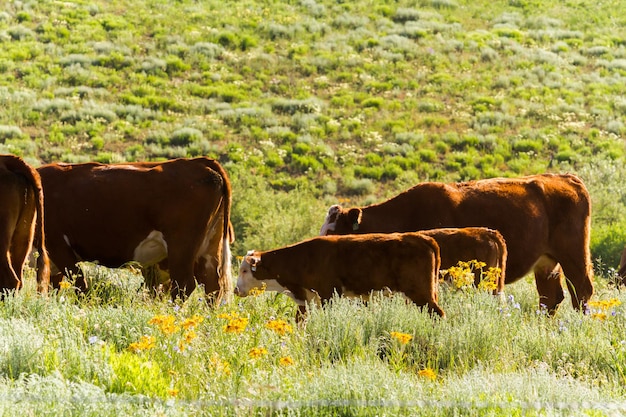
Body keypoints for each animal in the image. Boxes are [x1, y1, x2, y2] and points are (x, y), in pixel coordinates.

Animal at [39, 157, 234, 302]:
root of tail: (199, 162)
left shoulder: (58, 246)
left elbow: (79, 284)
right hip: (209, 246)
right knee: (213, 285)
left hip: (181, 245)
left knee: (184, 284)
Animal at [234, 232, 444, 316]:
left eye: (244, 270)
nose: (236, 290)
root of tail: (425, 239)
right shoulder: (306, 300)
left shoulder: (328, 295)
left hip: (421, 293)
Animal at [320, 172, 592, 312]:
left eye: (334, 231)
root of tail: (566, 178)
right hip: (546, 263)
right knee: (550, 298)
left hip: (573, 256)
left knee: (581, 292)